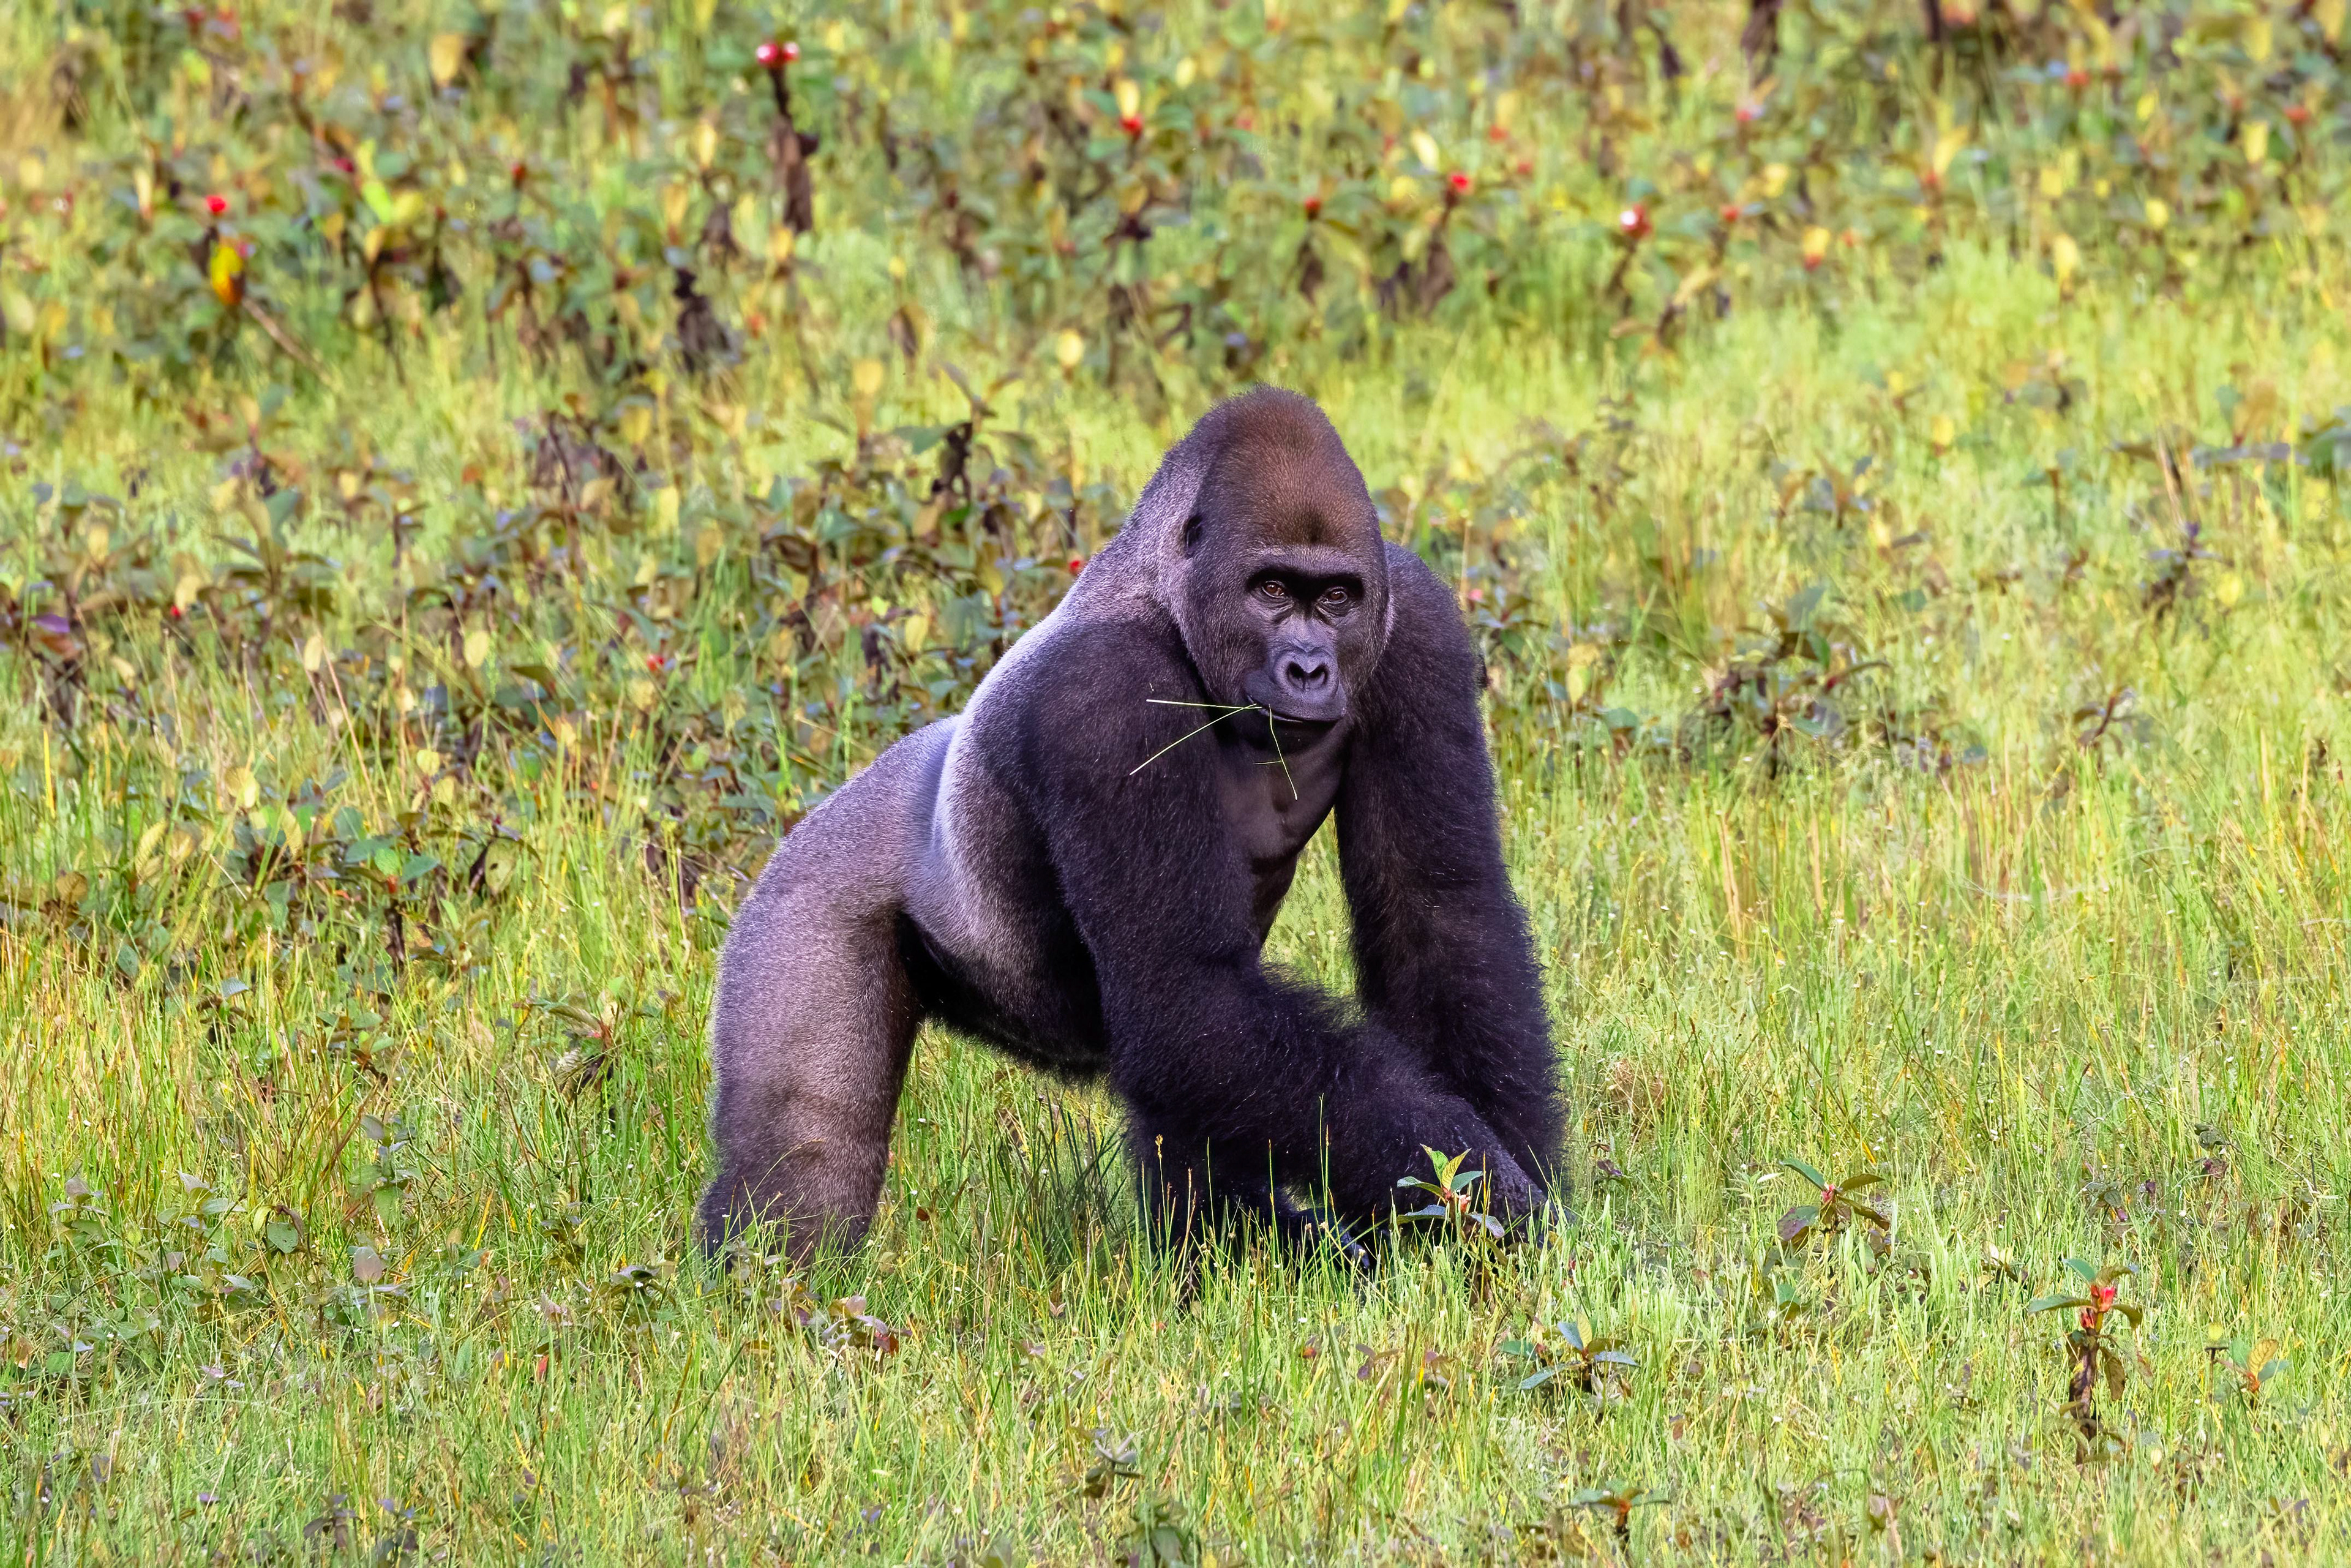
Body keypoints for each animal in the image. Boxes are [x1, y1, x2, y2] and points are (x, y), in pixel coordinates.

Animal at [699, 388, 1561, 1263]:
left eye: (1337, 598)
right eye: (1271, 590)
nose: (1309, 668)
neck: (1171, 597)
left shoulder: (1417, 623)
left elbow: (1439, 914)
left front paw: (1506, 1194)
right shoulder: (1105, 698)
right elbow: (1187, 990)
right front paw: (1484, 1197)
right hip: (807, 896)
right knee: (809, 1155)